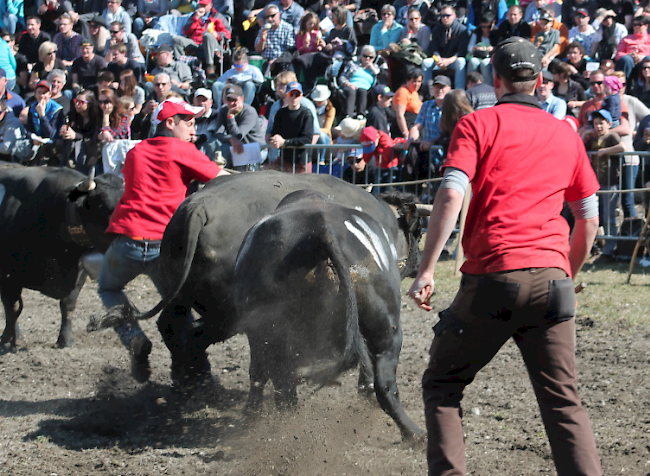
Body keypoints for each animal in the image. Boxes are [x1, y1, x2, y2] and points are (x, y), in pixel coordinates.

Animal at [0, 166, 123, 350]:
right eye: (102, 205)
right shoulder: (8, 276)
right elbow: (12, 308)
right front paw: (11, 339)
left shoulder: (79, 273)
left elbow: (68, 305)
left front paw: (65, 339)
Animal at [233, 189, 426, 438]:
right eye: (419, 232)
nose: (419, 262)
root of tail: (320, 230)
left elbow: (257, 374)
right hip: (386, 327)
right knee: (385, 385)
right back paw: (414, 433)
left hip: (270, 333)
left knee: (282, 387)